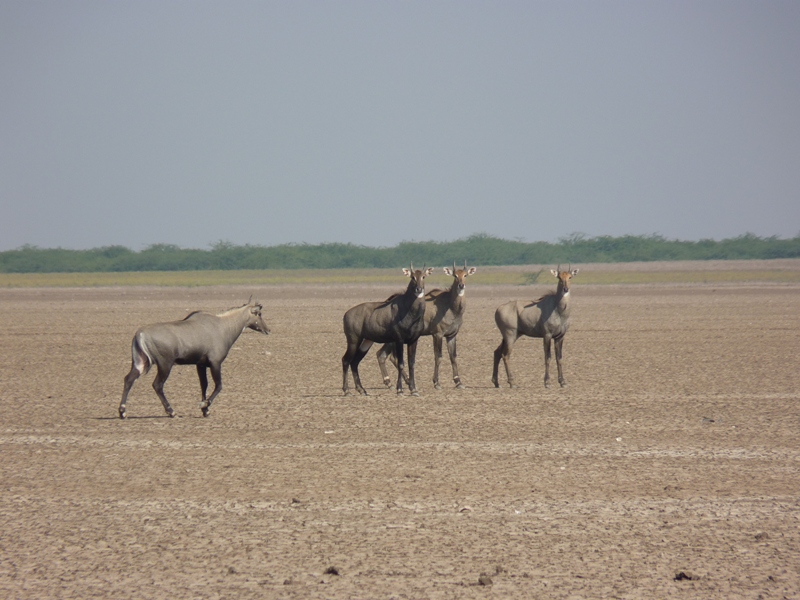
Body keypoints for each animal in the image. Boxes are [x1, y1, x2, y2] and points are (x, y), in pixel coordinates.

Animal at [117, 298, 270, 420]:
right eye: (259, 314)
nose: (267, 330)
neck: (222, 325)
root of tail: (140, 334)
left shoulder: (200, 365)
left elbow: (204, 385)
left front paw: (205, 410)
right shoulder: (215, 363)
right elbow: (219, 386)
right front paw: (204, 405)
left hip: (140, 362)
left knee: (129, 379)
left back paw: (123, 412)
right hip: (165, 365)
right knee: (157, 385)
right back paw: (171, 411)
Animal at [342, 264, 434, 396]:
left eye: (423, 276)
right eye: (412, 277)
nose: (418, 289)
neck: (410, 311)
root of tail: (346, 314)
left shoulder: (414, 340)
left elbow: (411, 364)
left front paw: (414, 390)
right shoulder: (399, 339)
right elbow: (401, 363)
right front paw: (400, 390)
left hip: (366, 341)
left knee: (354, 362)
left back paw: (362, 390)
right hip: (353, 340)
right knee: (346, 360)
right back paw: (346, 391)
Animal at [376, 262, 476, 390]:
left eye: (465, 275)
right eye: (455, 276)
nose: (461, 285)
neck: (451, 307)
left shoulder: (451, 335)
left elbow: (453, 357)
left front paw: (458, 382)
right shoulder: (437, 334)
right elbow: (438, 356)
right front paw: (436, 383)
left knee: (384, 355)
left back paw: (394, 382)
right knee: (388, 356)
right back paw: (399, 382)